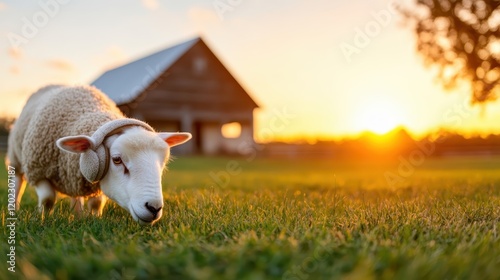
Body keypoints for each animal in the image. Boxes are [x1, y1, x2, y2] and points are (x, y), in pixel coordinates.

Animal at [6, 85, 192, 225]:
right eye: (117, 160)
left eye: (163, 162)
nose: (154, 208)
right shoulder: (38, 171)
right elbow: (47, 198)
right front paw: (43, 219)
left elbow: (96, 203)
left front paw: (94, 219)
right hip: (16, 158)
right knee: (18, 181)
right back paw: (14, 209)